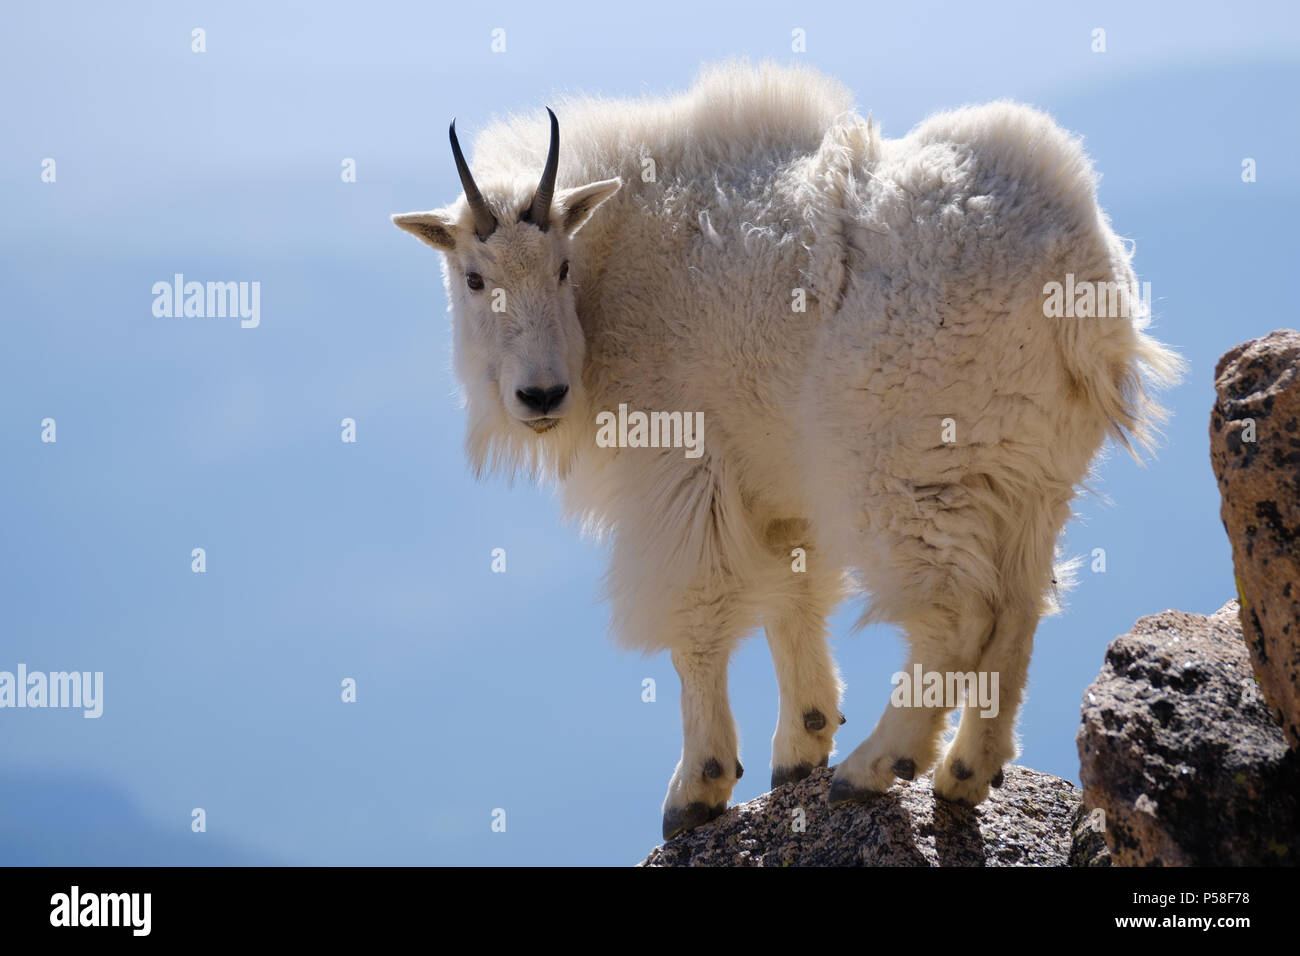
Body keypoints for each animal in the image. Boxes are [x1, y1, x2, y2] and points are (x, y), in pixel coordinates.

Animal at [390, 61, 1185, 837]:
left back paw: (875, 765)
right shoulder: (774, 484)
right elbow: (792, 597)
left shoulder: (682, 470)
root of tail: (1079, 268)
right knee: (1019, 609)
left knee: (959, 614)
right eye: (474, 278)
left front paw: (699, 787)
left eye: (560, 267)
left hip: (903, 470)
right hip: (1031, 477)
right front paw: (800, 745)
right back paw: (964, 774)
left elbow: (699, 615)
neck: (615, 264)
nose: (541, 396)